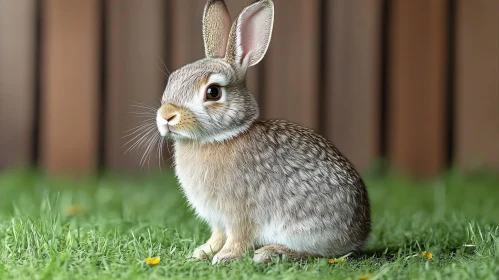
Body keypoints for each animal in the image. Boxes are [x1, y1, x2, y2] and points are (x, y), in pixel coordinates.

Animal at [156, 0, 372, 264]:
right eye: (173, 79)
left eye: (213, 92)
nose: (166, 116)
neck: (219, 138)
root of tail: (360, 233)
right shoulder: (218, 219)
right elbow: (217, 236)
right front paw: (202, 252)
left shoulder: (239, 212)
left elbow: (238, 237)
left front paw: (225, 257)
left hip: (306, 230)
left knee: (322, 255)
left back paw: (270, 253)